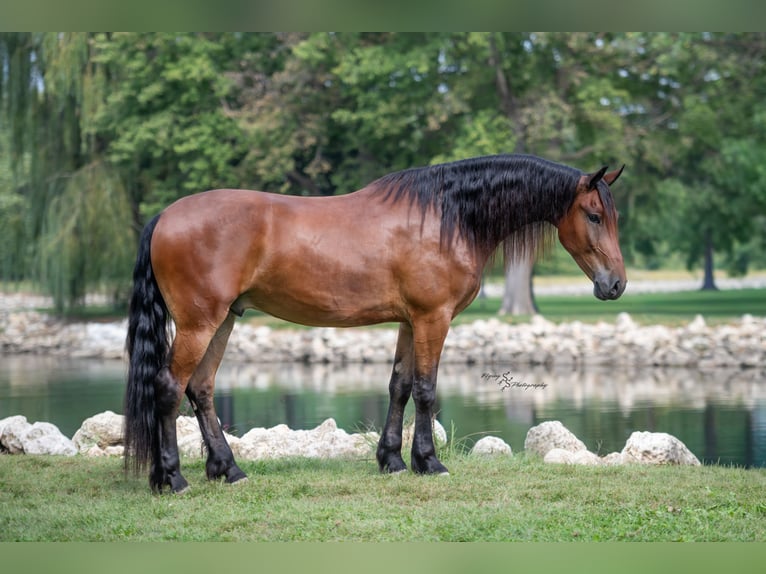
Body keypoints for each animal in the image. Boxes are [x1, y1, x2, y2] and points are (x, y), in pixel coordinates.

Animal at [124, 153, 626, 493]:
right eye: (594, 215)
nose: (616, 284)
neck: (445, 216)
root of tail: (165, 216)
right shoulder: (433, 318)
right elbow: (425, 390)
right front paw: (429, 462)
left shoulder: (410, 321)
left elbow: (399, 386)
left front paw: (392, 460)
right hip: (199, 322)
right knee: (168, 388)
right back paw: (172, 478)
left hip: (224, 319)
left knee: (201, 388)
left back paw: (228, 470)